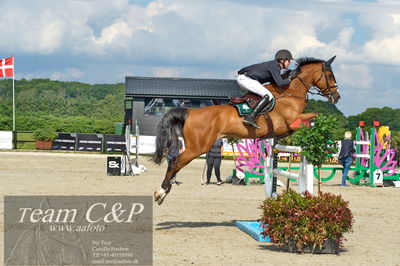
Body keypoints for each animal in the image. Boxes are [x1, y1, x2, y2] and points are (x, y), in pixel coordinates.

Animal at [152, 56, 340, 206]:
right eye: (330, 75)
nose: (336, 97)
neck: (290, 93)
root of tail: (191, 111)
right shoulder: (292, 119)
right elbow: (315, 115)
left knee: (174, 161)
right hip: (198, 147)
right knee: (175, 162)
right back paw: (161, 192)